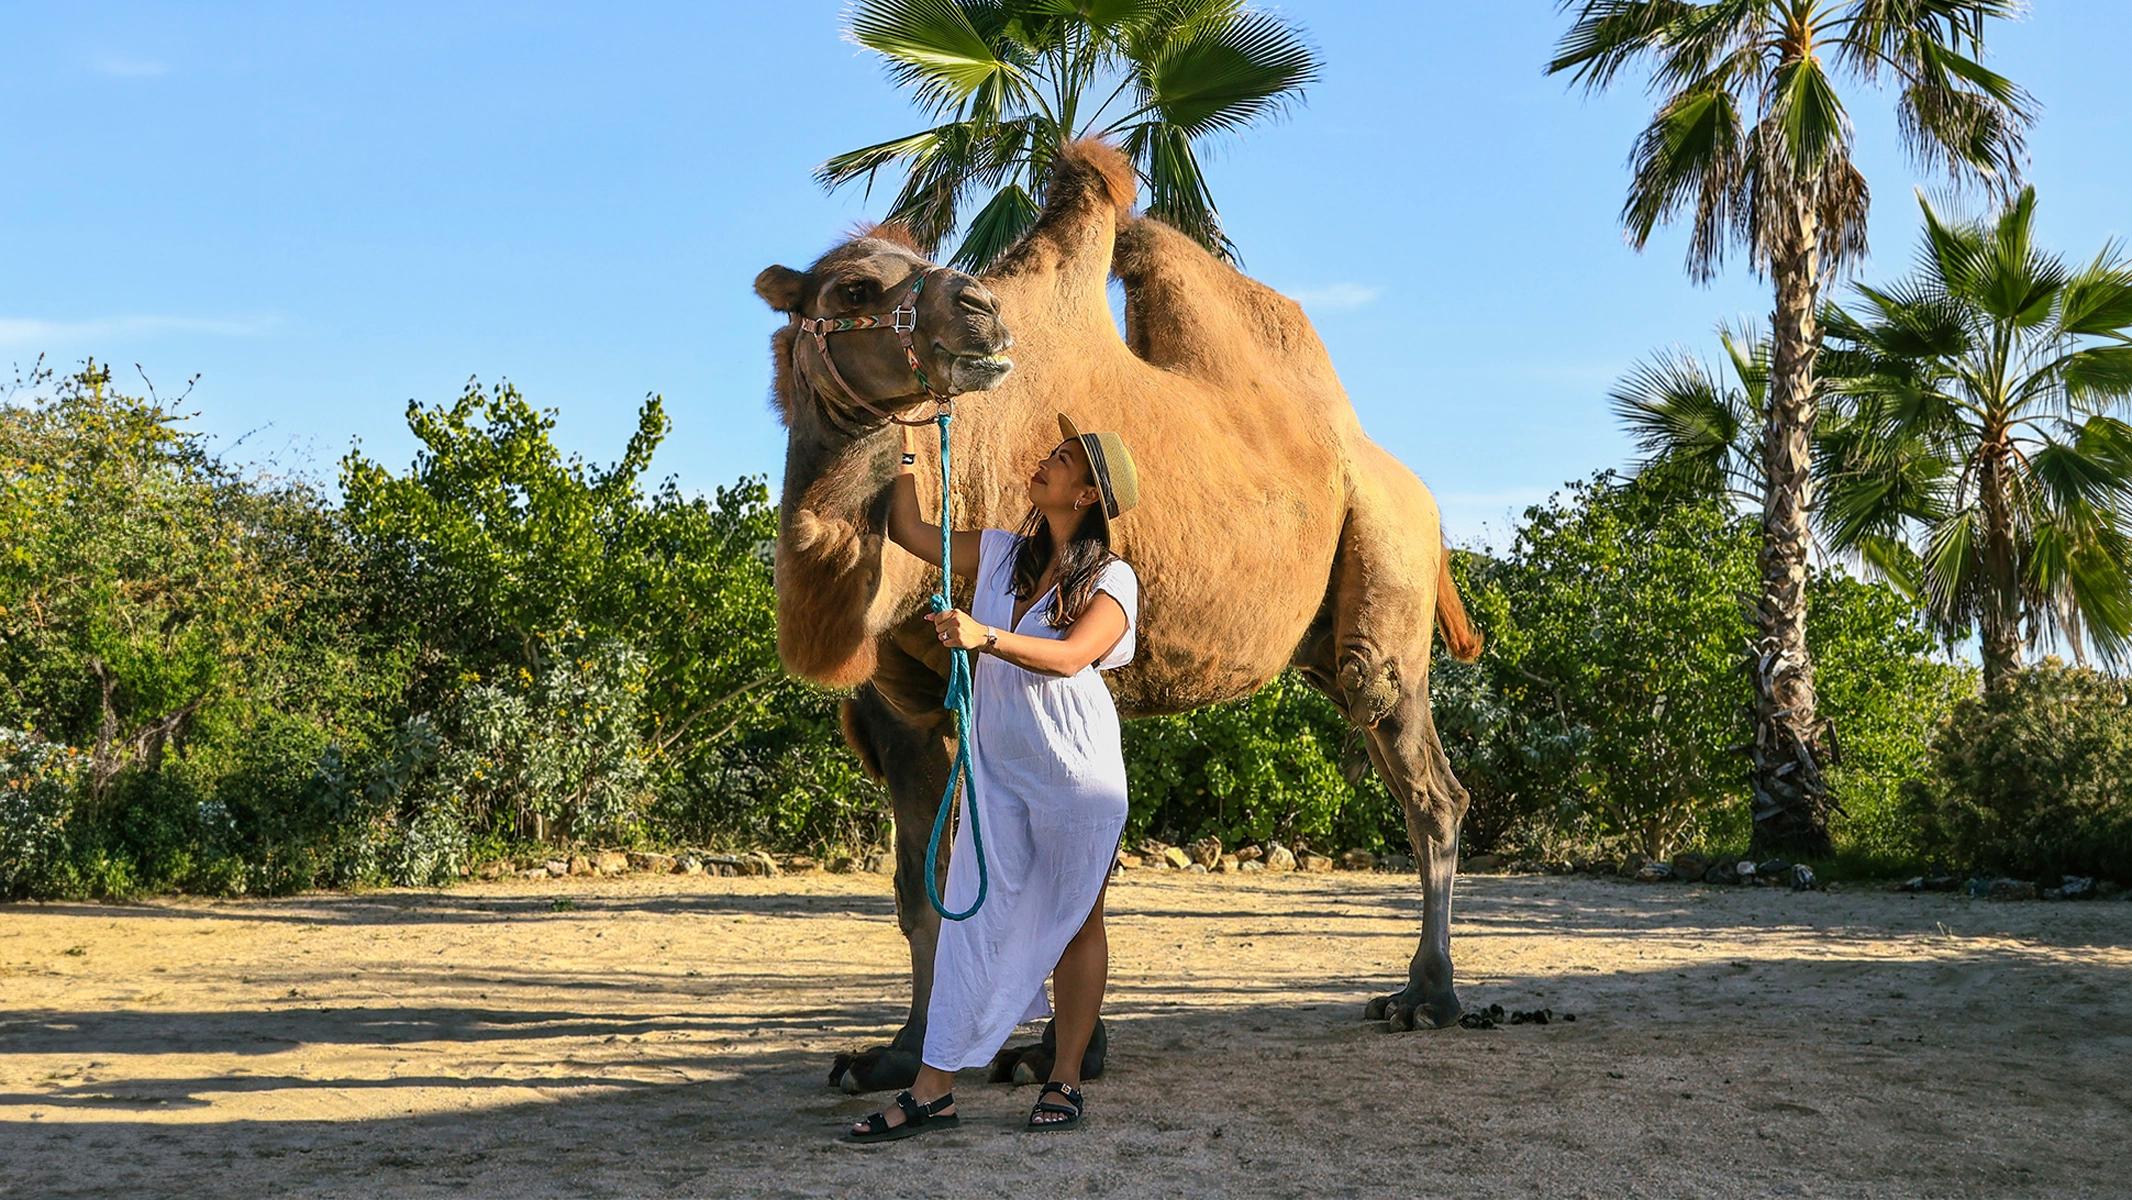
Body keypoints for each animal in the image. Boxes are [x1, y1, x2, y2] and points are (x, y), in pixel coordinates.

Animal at [754, 140, 1485, 1094]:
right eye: (850, 288)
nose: (980, 314)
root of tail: (1414, 490)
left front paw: (1054, 1056)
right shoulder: (902, 708)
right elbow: (923, 890)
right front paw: (899, 1055)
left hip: (1386, 574)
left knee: (1421, 772)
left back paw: (1429, 998)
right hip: (1324, 639)